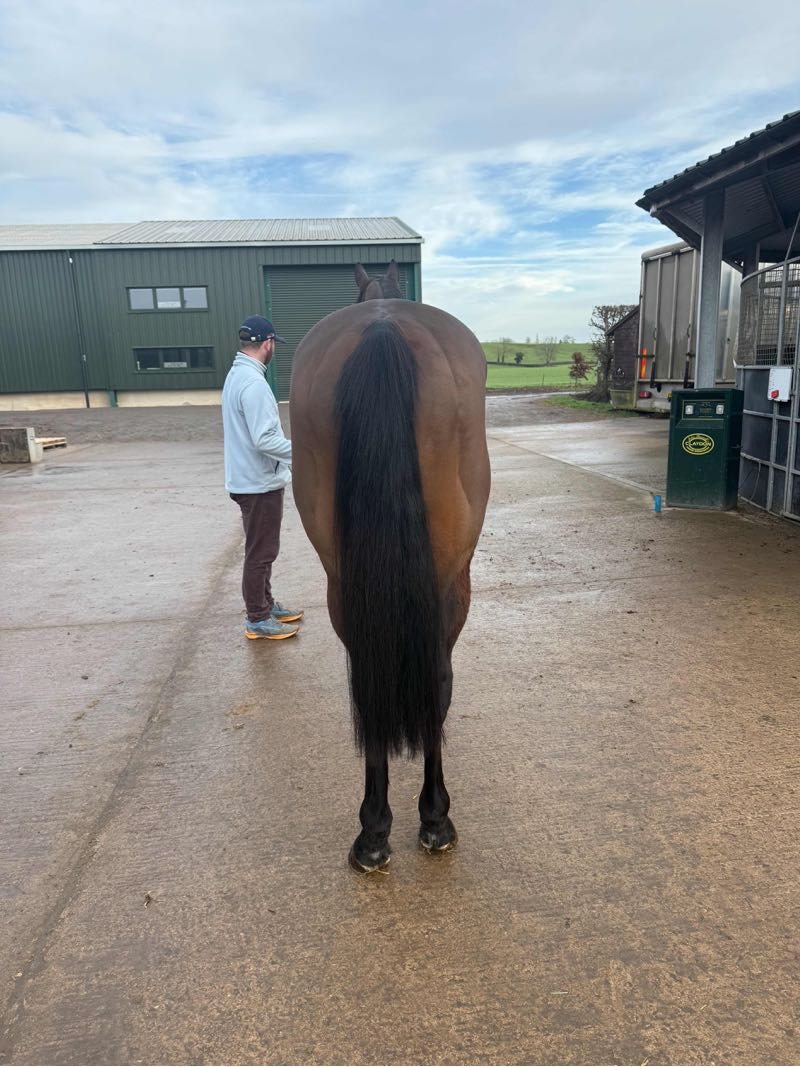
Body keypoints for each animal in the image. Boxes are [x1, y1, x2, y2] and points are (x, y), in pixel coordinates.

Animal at [289, 260, 490, 873]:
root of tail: (382, 329)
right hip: (452, 580)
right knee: (438, 681)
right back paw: (430, 819)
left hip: (344, 585)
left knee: (371, 681)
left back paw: (376, 830)